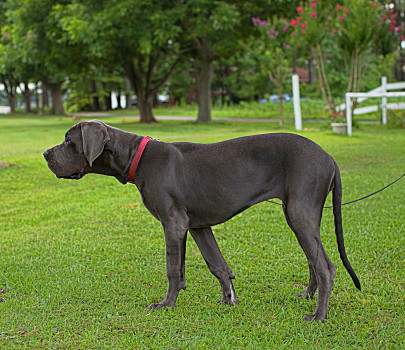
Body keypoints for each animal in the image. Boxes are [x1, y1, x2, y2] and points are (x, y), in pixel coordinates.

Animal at [43, 119, 360, 320]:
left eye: (69, 141)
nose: (45, 154)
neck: (136, 157)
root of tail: (329, 157)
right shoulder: (197, 225)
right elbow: (217, 264)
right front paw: (227, 299)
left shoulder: (173, 223)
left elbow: (173, 269)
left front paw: (166, 304)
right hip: (299, 214)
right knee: (314, 260)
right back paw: (308, 296)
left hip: (299, 213)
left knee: (326, 266)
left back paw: (319, 315)